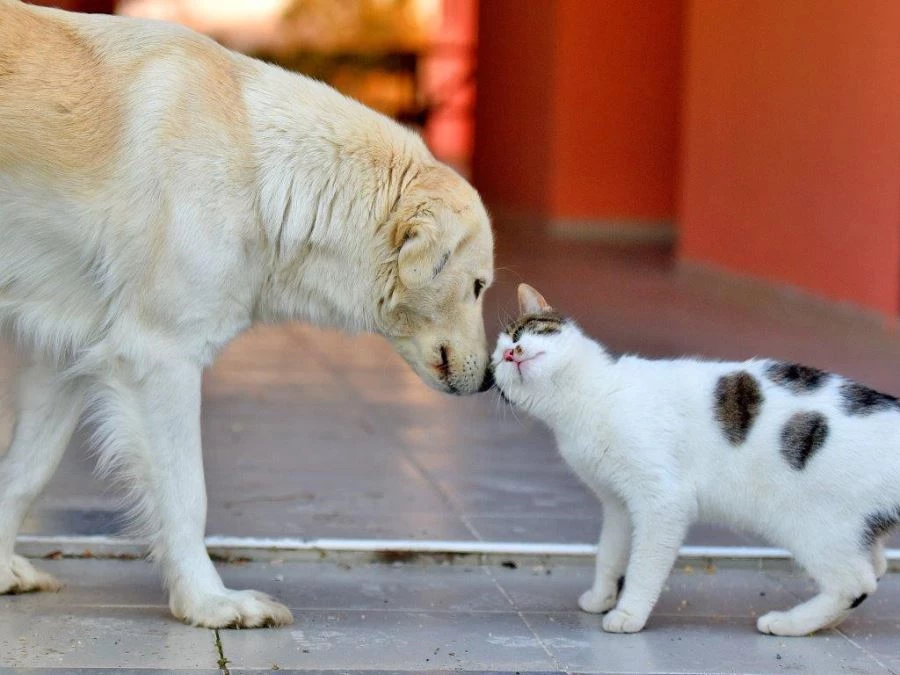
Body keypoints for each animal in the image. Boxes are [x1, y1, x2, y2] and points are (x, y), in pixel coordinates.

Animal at [0, 1, 492, 628]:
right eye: (477, 286)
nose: (492, 379)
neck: (263, 168)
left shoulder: (66, 352)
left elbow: (25, 472)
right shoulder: (161, 357)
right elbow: (187, 495)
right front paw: (209, 603)